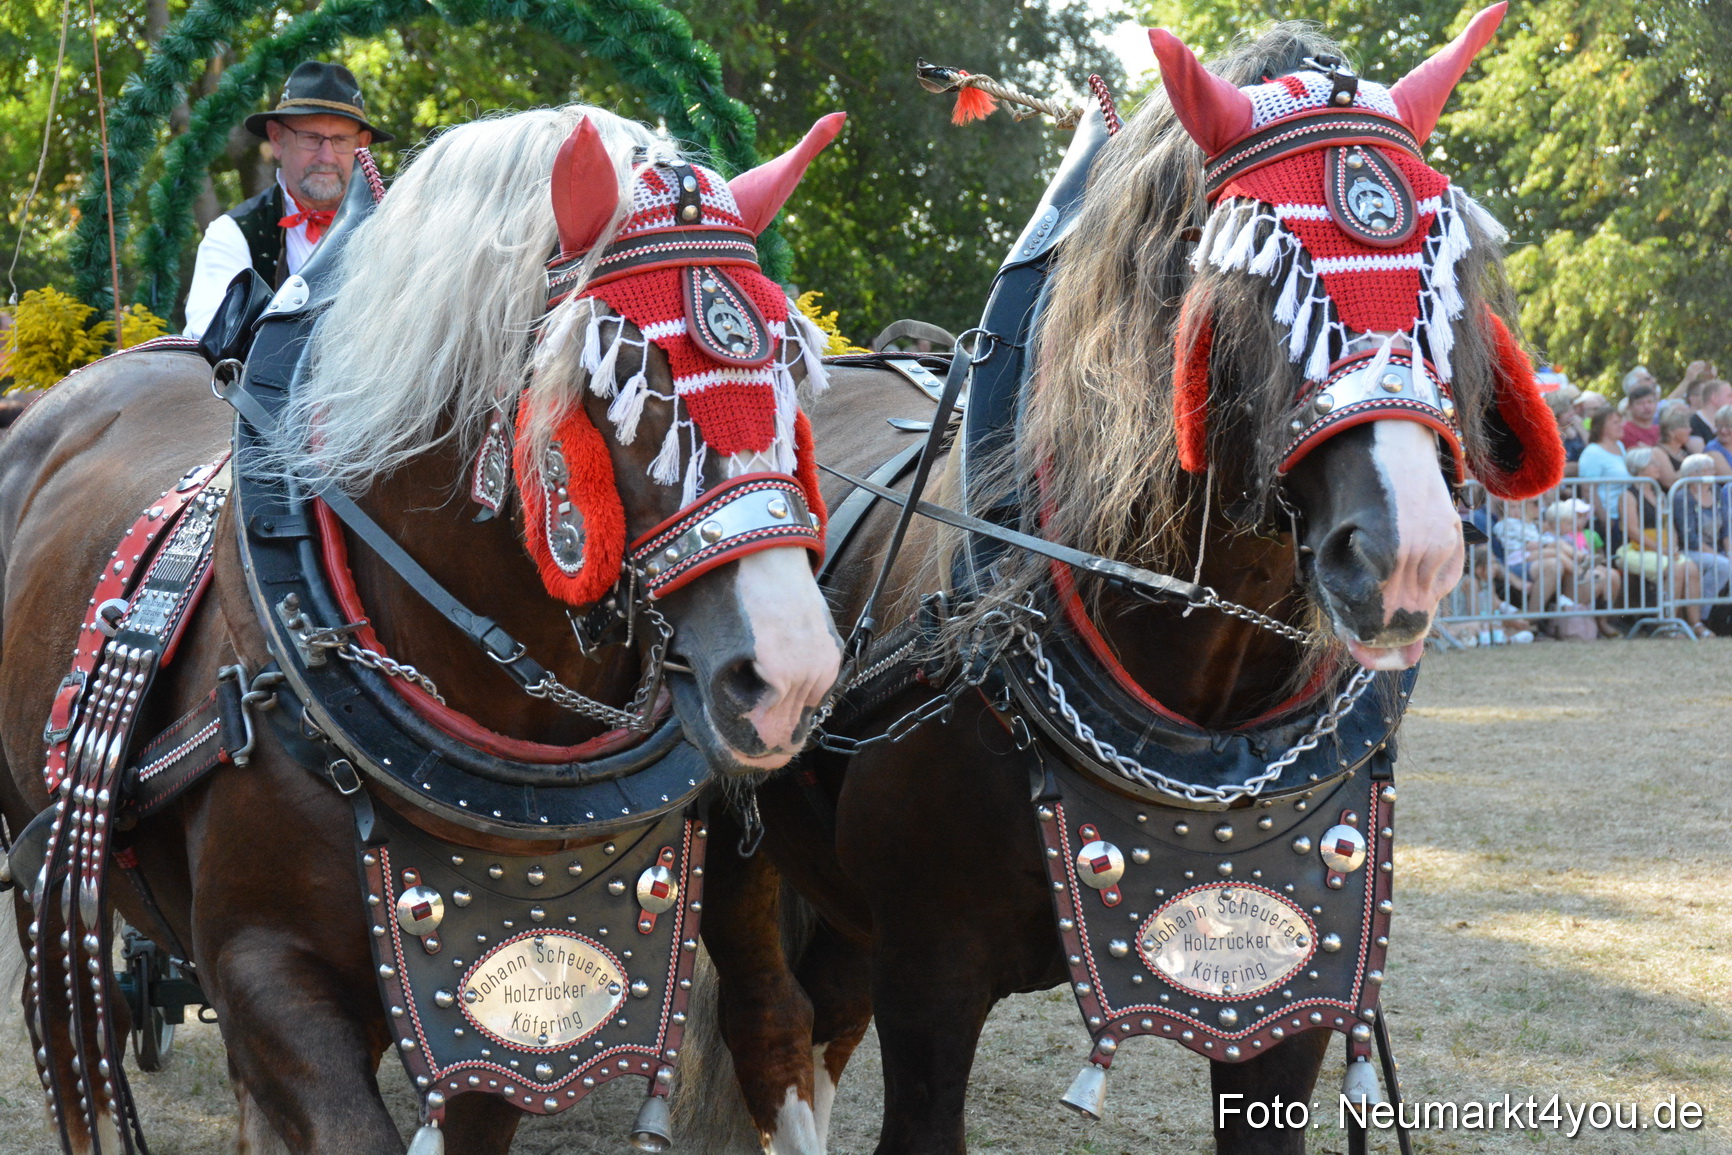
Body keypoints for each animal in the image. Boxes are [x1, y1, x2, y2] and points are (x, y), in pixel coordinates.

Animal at [0, 102, 847, 1154]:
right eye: (624, 371)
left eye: (791, 360)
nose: (790, 676)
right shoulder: (263, 968)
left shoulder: (512, 1017)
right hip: (36, 858)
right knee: (74, 1026)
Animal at [689, 10, 1563, 1153]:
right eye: (1252, 263)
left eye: (1445, 265)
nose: (1408, 553)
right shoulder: (931, 973)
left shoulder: (1292, 981)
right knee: (772, 1027)